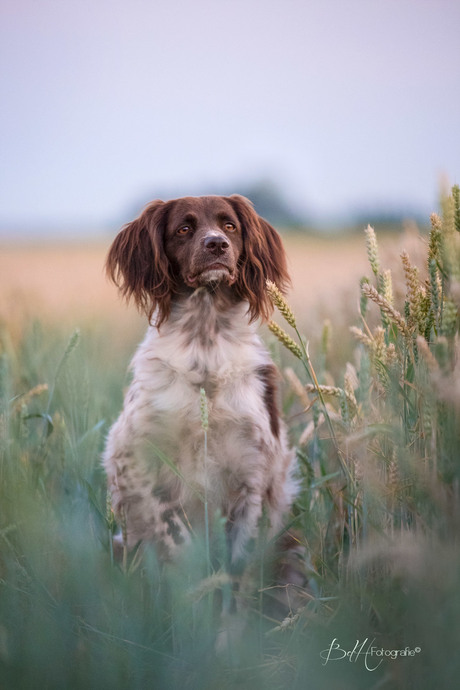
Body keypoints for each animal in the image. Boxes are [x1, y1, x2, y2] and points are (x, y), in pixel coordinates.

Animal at [102, 194, 298, 580]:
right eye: (183, 228)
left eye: (229, 225)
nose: (217, 245)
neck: (206, 347)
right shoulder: (139, 460)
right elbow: (176, 541)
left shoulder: (254, 475)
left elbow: (239, 563)